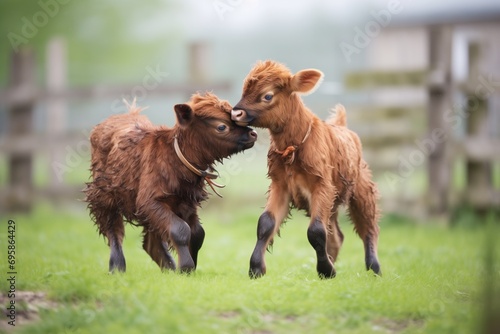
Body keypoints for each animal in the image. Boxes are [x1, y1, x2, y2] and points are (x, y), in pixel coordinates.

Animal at [85, 92, 256, 272]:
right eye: (222, 127)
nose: (253, 134)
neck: (174, 159)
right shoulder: (149, 201)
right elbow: (180, 229)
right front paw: (186, 266)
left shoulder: (187, 203)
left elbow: (197, 233)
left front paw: (187, 269)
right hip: (103, 193)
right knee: (113, 227)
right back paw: (117, 267)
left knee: (150, 243)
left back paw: (169, 268)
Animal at [232, 60, 380, 280]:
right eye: (244, 90)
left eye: (267, 95)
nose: (235, 113)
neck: (294, 147)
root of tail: (342, 126)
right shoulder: (280, 185)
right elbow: (266, 223)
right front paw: (256, 268)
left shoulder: (322, 185)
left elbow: (316, 230)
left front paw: (325, 270)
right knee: (336, 235)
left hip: (362, 188)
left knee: (368, 227)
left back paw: (374, 268)